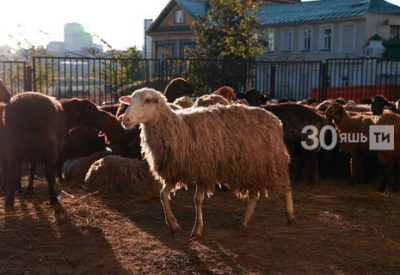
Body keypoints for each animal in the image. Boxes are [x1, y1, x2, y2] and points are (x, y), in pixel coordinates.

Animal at [119, 89, 294, 239]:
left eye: (147, 100)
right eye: (130, 100)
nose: (125, 120)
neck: (178, 128)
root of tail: (273, 118)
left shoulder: (204, 171)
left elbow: (197, 200)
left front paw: (197, 229)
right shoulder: (175, 171)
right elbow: (163, 194)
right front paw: (173, 225)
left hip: (274, 161)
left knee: (286, 188)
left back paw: (290, 216)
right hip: (251, 166)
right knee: (253, 195)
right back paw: (244, 221)